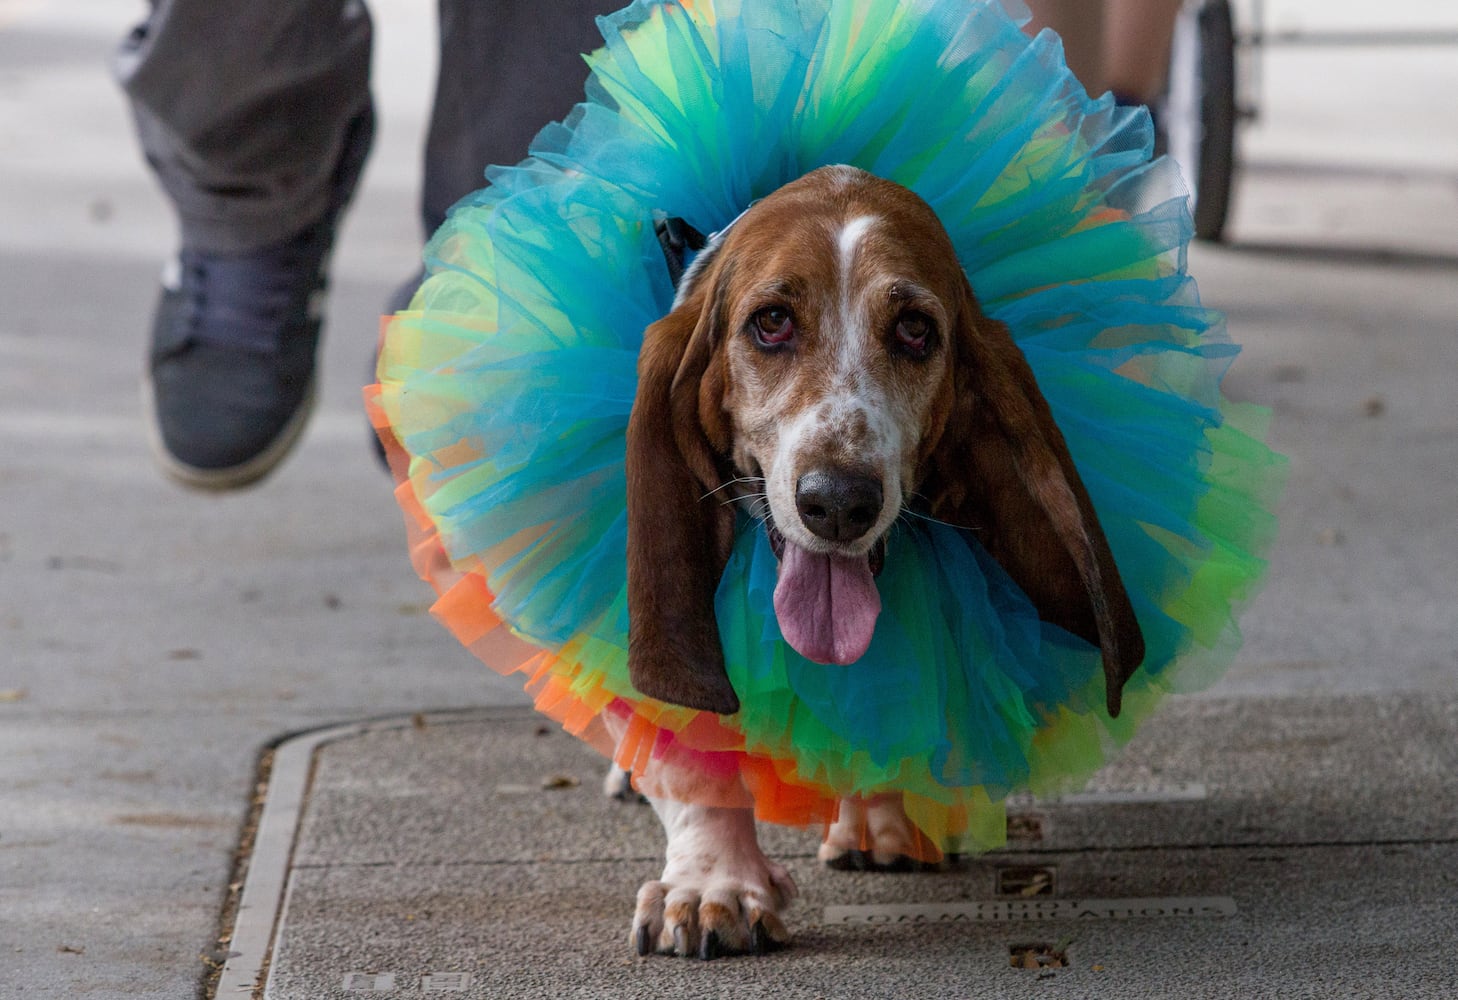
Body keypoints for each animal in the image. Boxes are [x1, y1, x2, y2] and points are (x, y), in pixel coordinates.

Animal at [621, 166, 1143, 962]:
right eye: (770, 323)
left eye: (915, 331)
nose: (838, 502)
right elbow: (692, 748)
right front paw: (713, 885)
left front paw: (881, 819)